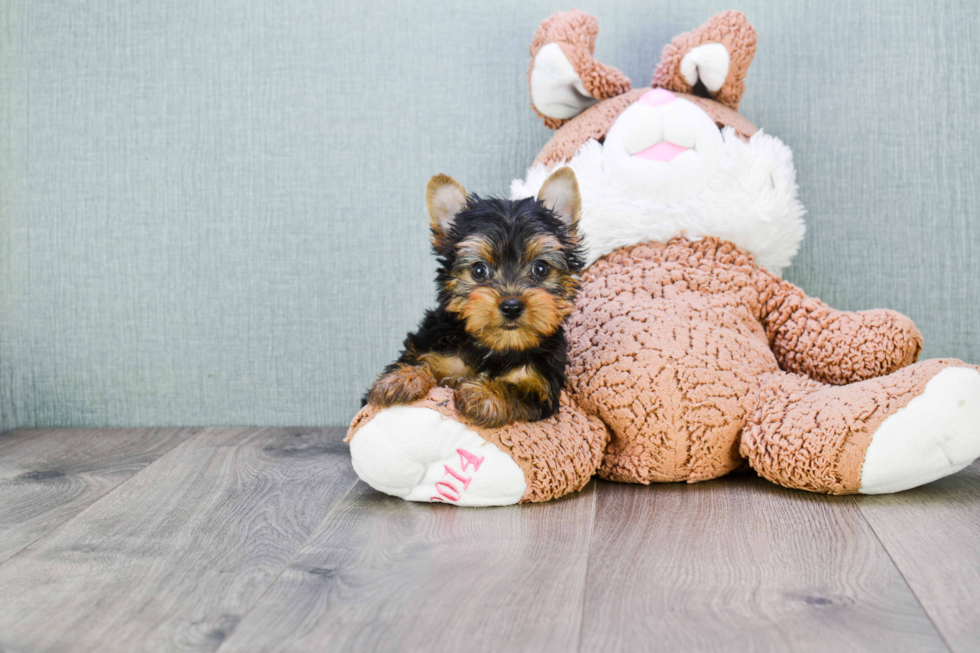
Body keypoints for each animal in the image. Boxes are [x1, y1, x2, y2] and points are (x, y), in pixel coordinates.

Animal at [366, 167, 580, 428]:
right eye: (479, 270)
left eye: (540, 268)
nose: (511, 306)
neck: (496, 346)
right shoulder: (439, 350)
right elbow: (421, 360)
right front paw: (401, 378)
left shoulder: (541, 385)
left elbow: (517, 392)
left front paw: (483, 394)